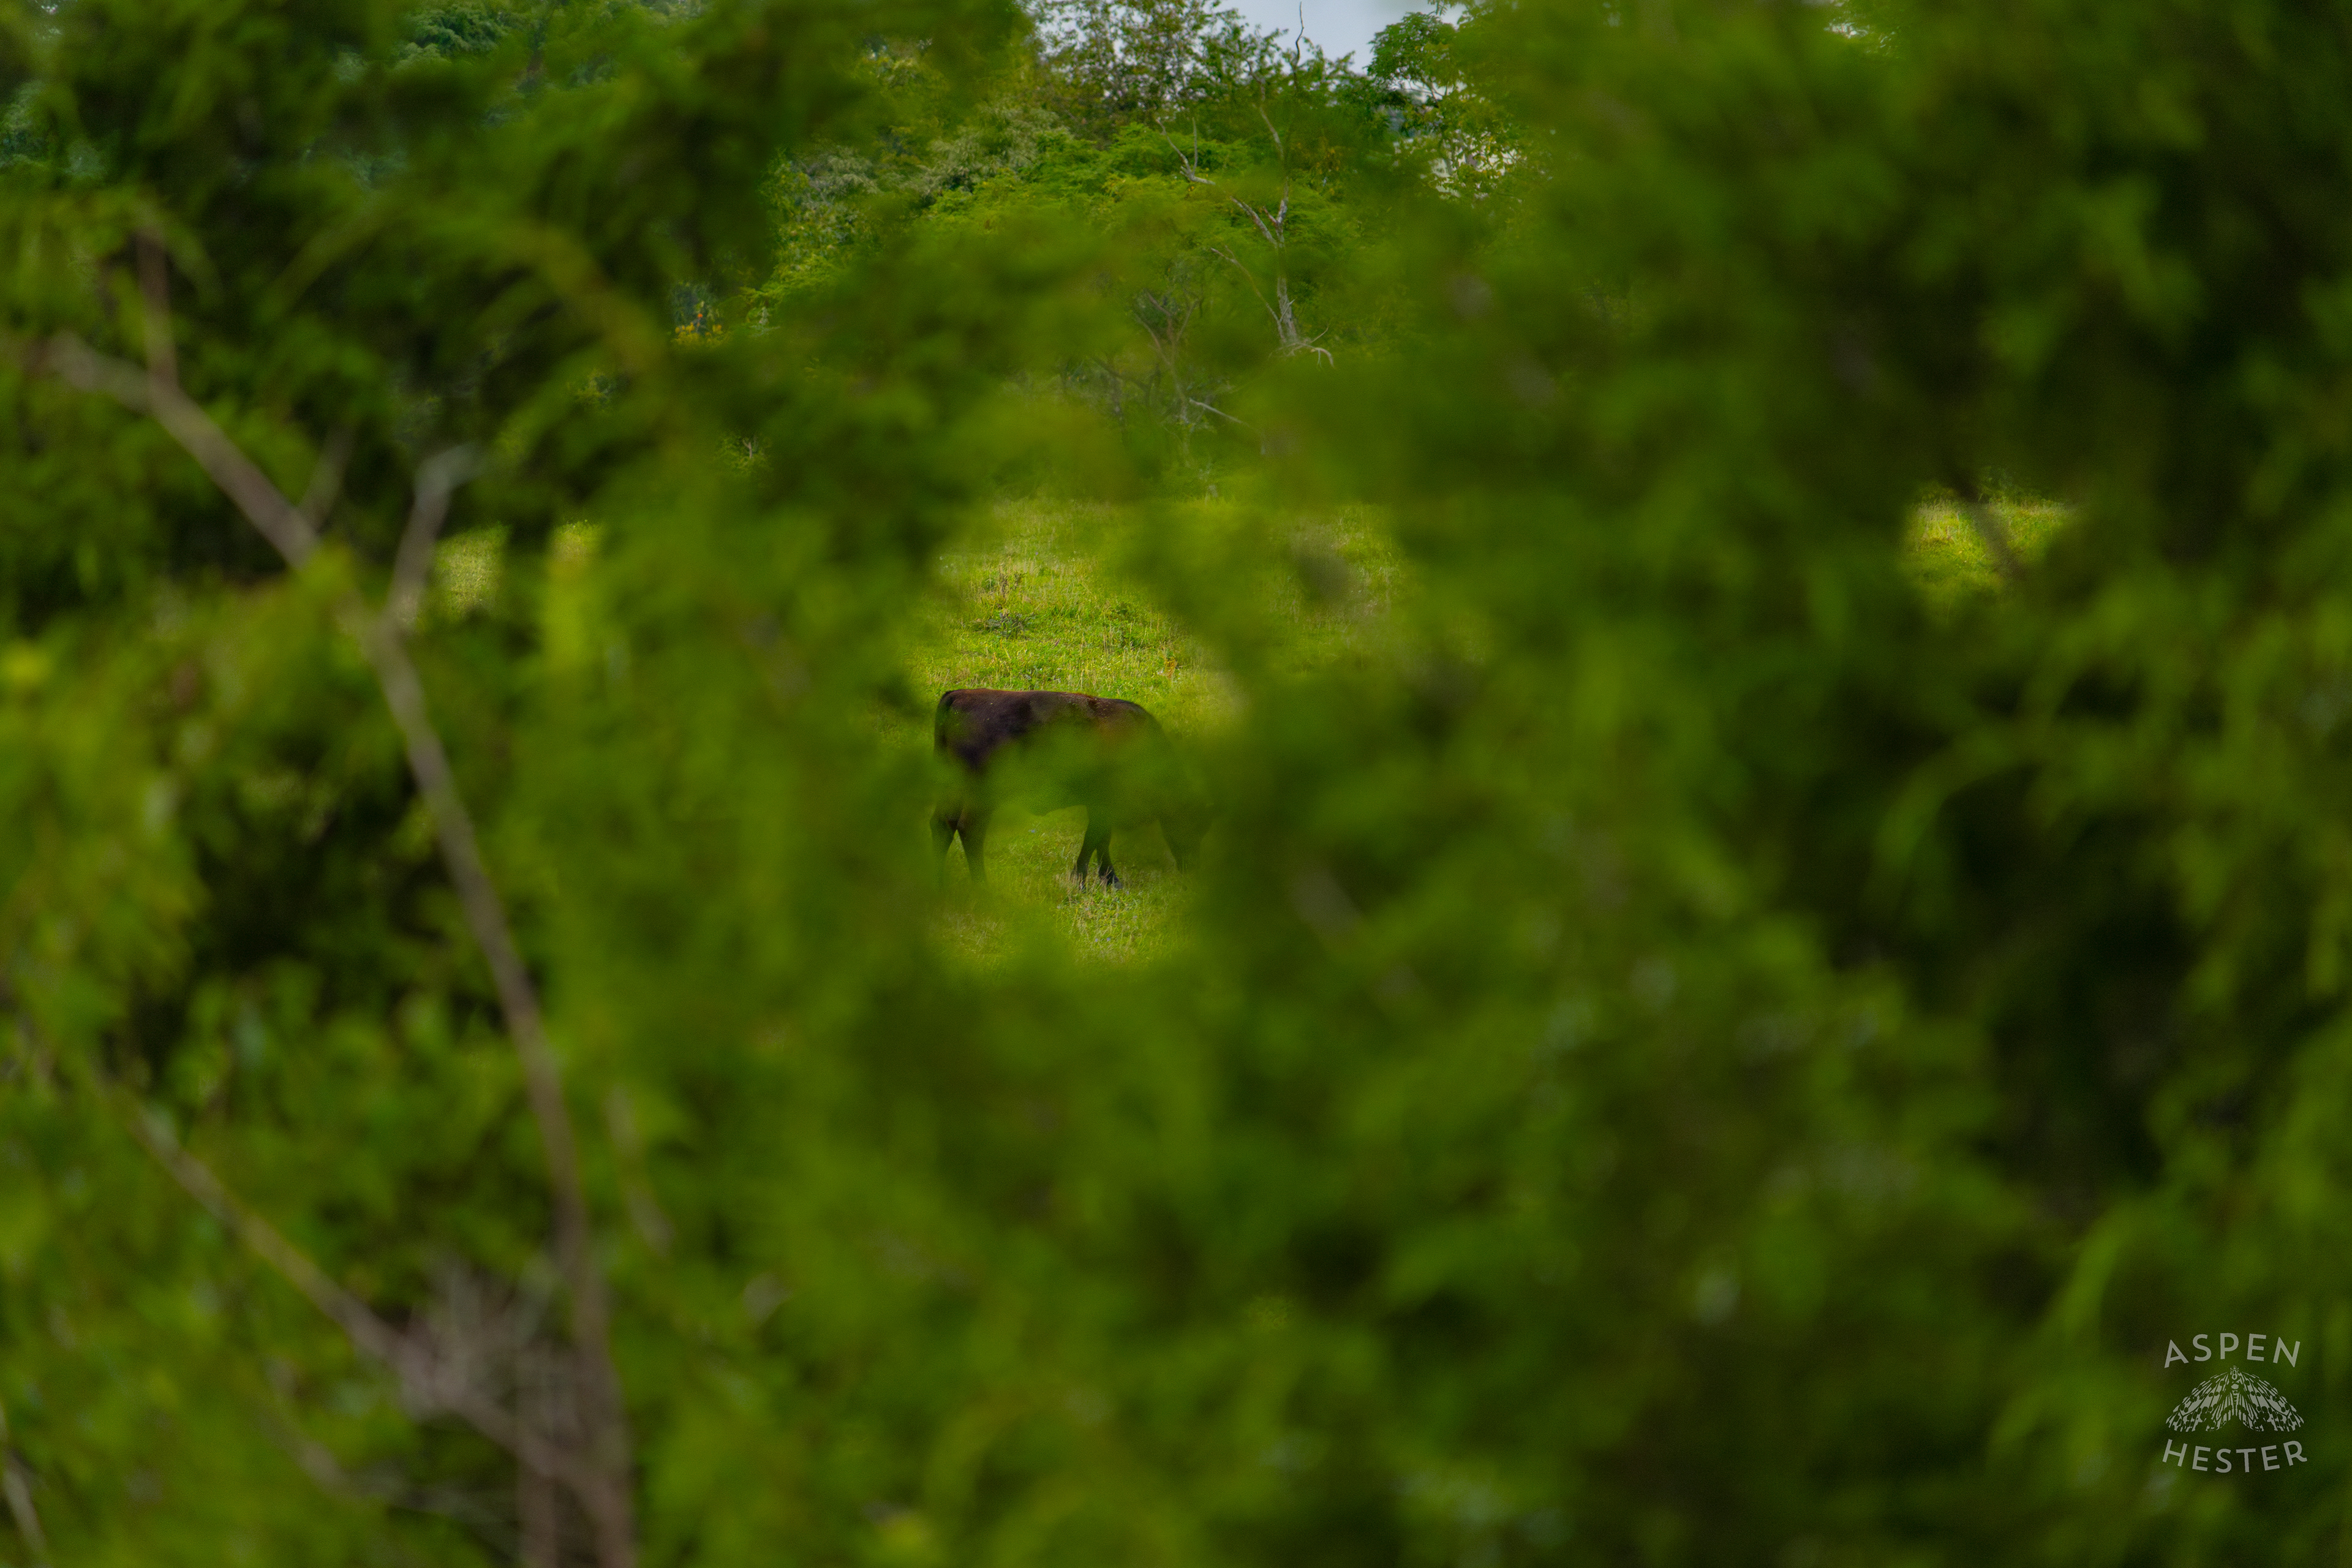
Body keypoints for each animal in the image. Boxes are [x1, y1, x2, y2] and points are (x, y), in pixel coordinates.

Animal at [932, 688, 1204, 888]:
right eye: (1190, 822)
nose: (1192, 866)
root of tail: (958, 695)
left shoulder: (1100, 805)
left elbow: (1101, 839)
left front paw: (1109, 880)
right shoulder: (1104, 803)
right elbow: (1095, 838)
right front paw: (1085, 880)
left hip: (952, 790)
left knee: (943, 825)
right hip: (983, 795)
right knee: (970, 830)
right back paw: (983, 888)